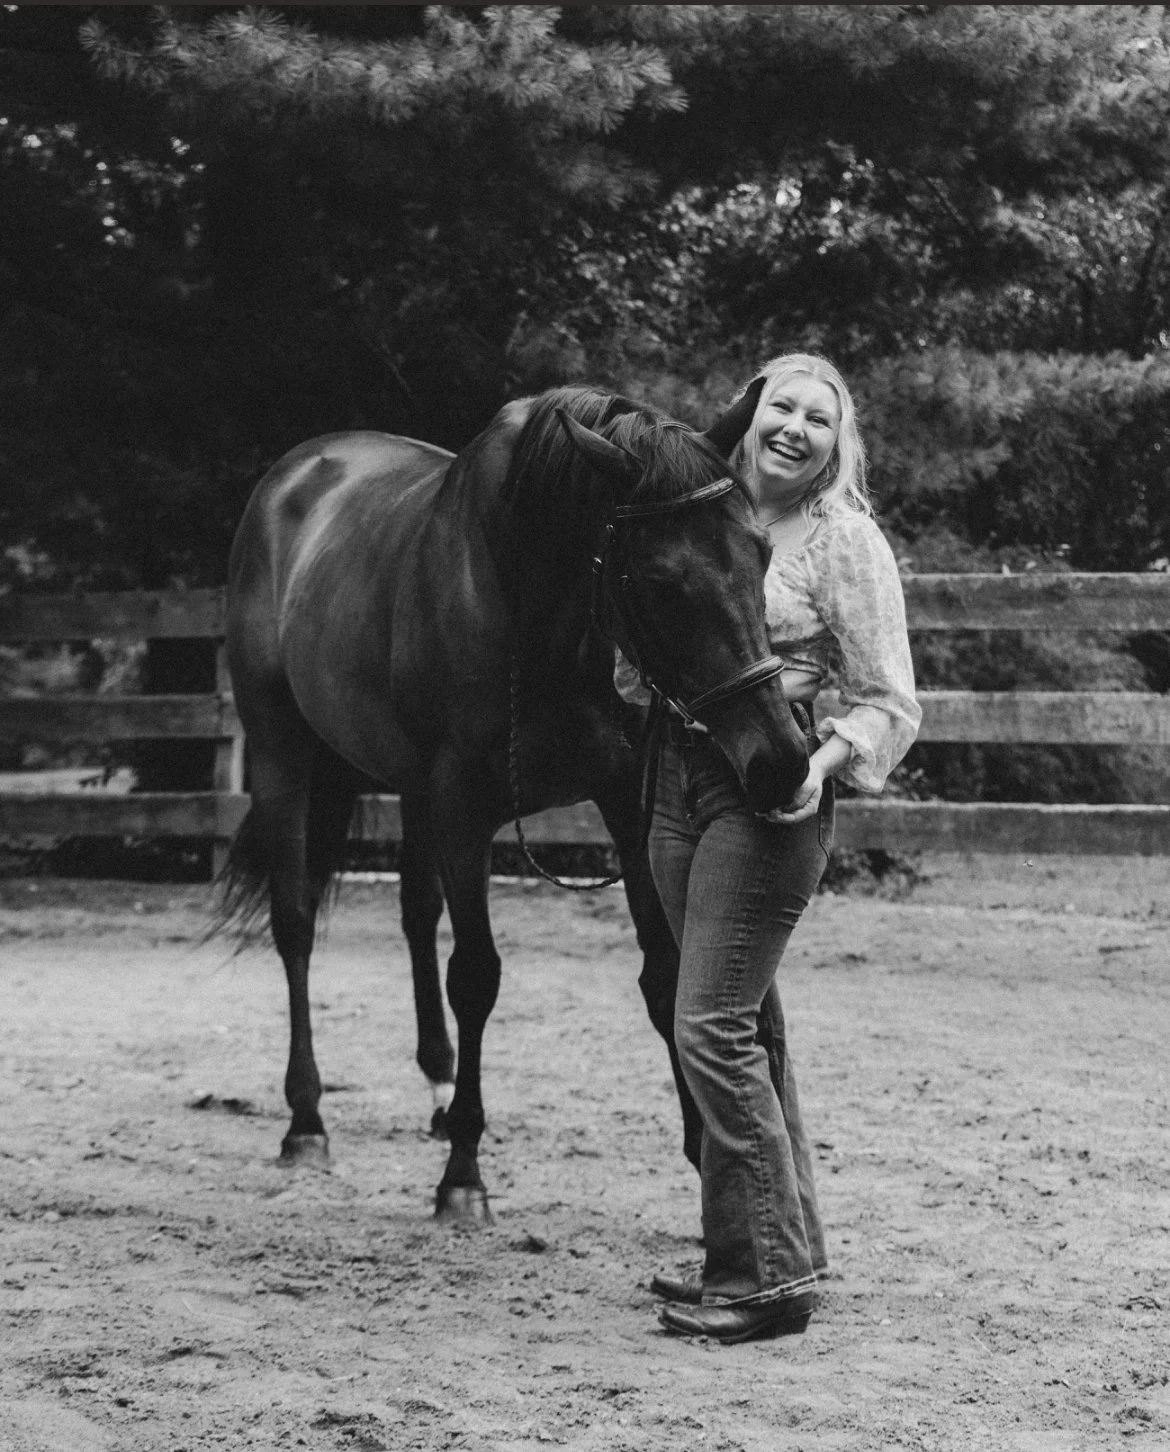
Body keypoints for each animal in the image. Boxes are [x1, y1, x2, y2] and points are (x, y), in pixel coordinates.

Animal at [214, 380, 810, 1222]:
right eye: (662, 580)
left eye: (760, 552)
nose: (781, 760)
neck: (533, 605)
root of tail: (294, 474)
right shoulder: (464, 810)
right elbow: (476, 976)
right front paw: (463, 1176)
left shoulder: (622, 804)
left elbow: (664, 973)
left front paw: (702, 1156)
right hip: (281, 752)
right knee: (294, 924)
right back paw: (307, 1122)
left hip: (407, 785)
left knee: (414, 912)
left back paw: (436, 1088)